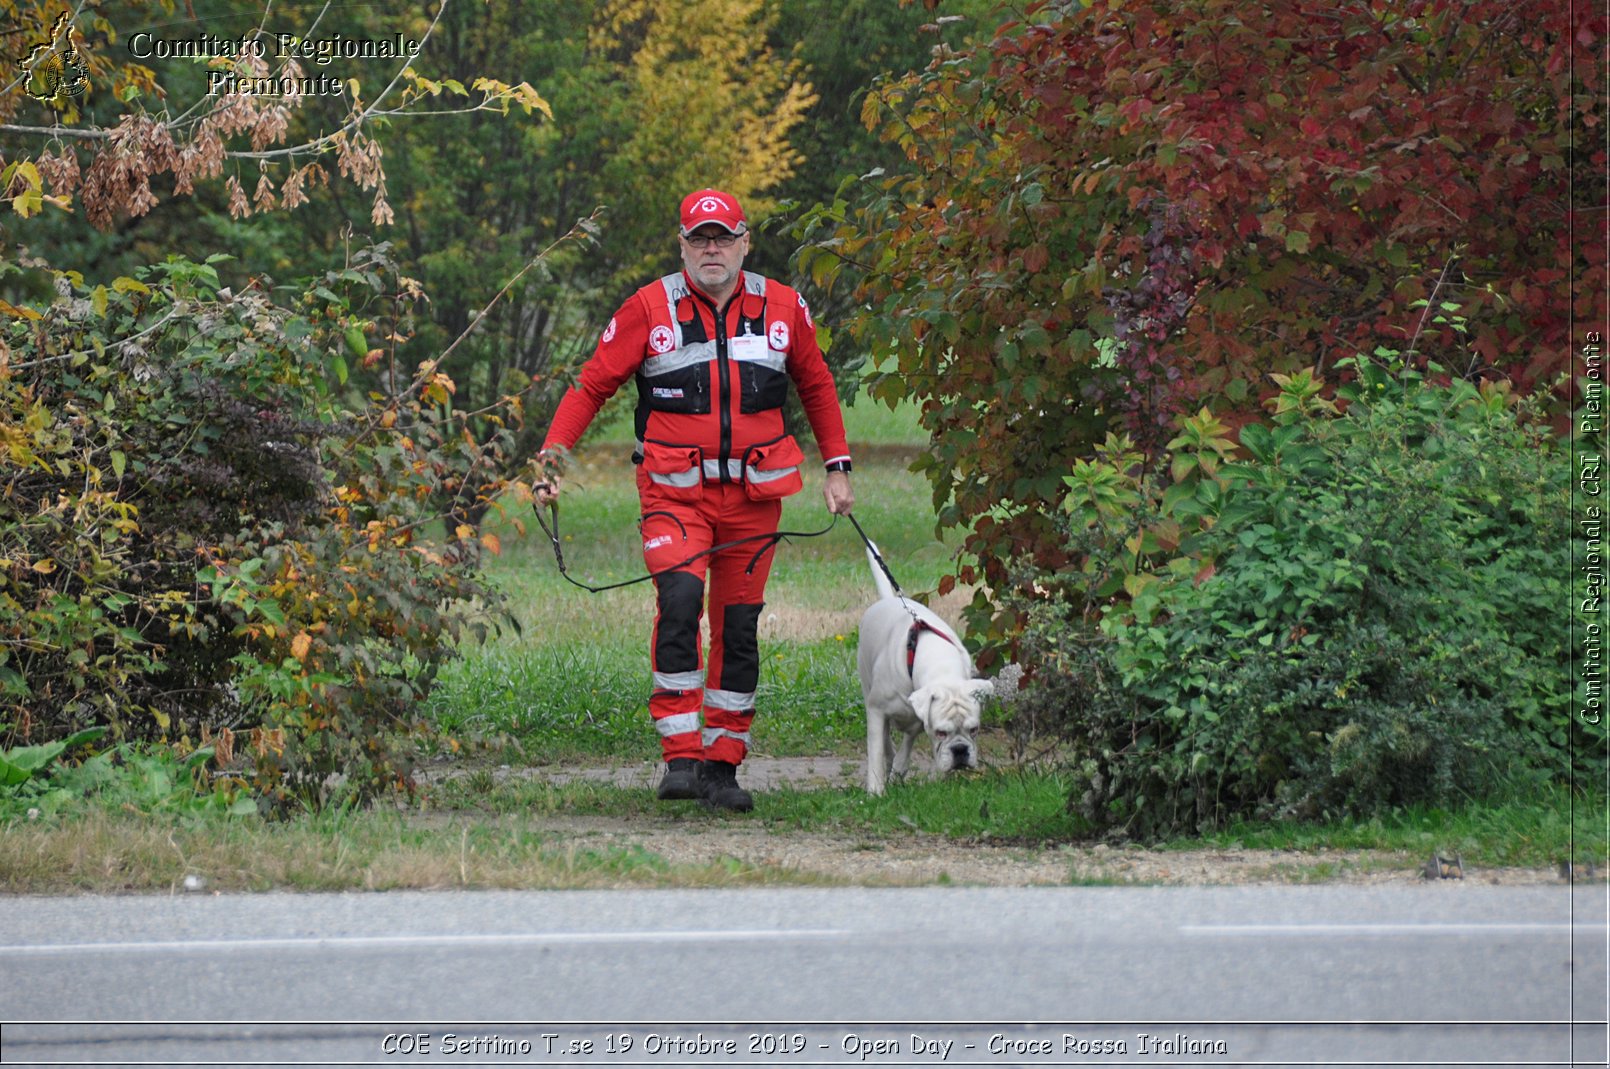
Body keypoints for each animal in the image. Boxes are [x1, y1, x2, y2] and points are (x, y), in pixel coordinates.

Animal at [856, 550, 991, 792]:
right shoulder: (877, 710)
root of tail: (888, 600)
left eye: (974, 729)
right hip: (867, 685)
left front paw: (901, 769)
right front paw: (875, 790)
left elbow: (910, 740)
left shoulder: (920, 718)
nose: (960, 750)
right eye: (941, 732)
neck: (940, 665)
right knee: (885, 740)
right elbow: (876, 751)